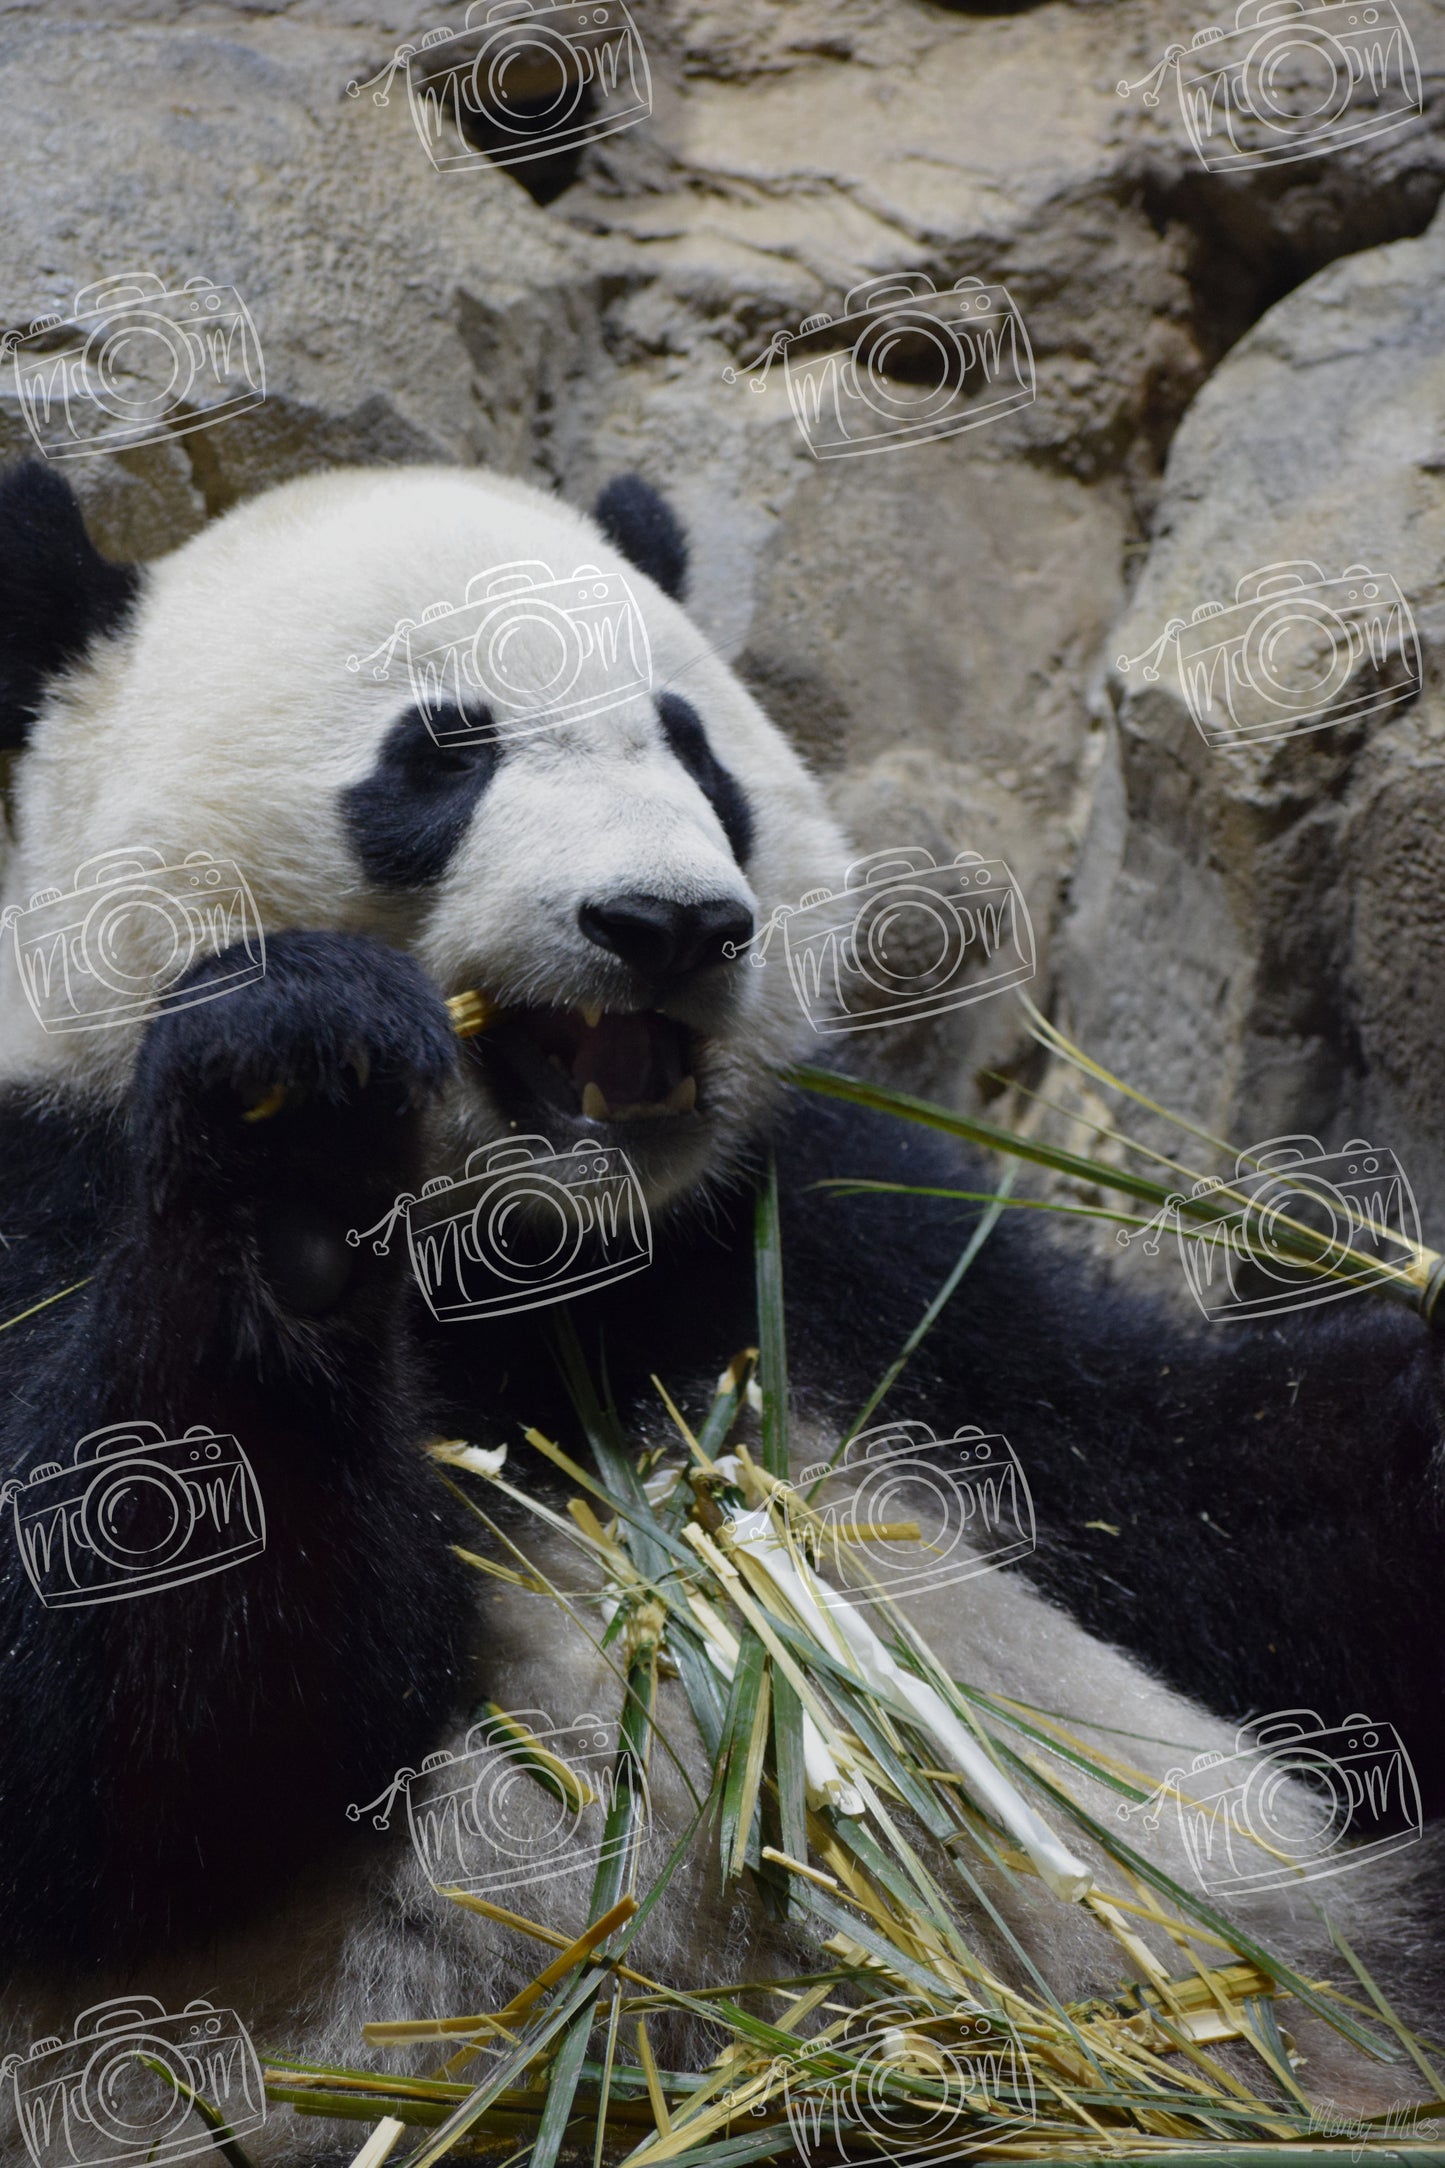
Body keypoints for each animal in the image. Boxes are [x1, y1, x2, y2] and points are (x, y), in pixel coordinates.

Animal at [0, 448, 1438, 2159]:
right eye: (441, 753)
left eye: (692, 744)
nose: (670, 922)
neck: (539, 1250)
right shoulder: (45, 1175)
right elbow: (124, 1736)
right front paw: (297, 1118)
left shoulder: (818, 1240)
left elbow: (1199, 1487)